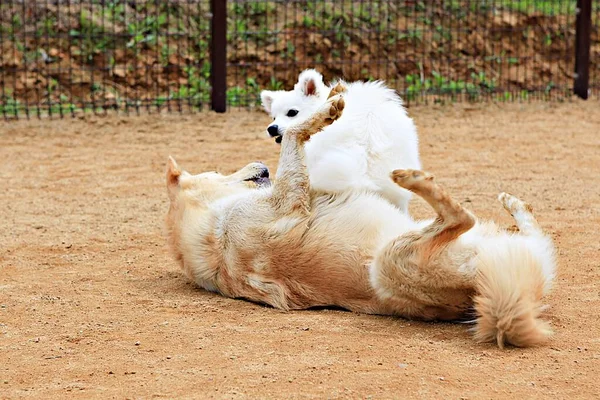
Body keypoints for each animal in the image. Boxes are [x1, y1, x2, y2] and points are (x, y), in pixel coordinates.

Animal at [165, 86, 556, 348]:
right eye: (218, 171)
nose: (259, 163)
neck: (213, 233)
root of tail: (491, 302)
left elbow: (298, 135)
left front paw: (331, 96)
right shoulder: (290, 197)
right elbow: (295, 135)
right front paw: (326, 111)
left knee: (529, 233)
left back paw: (514, 204)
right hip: (389, 262)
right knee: (461, 217)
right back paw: (415, 180)